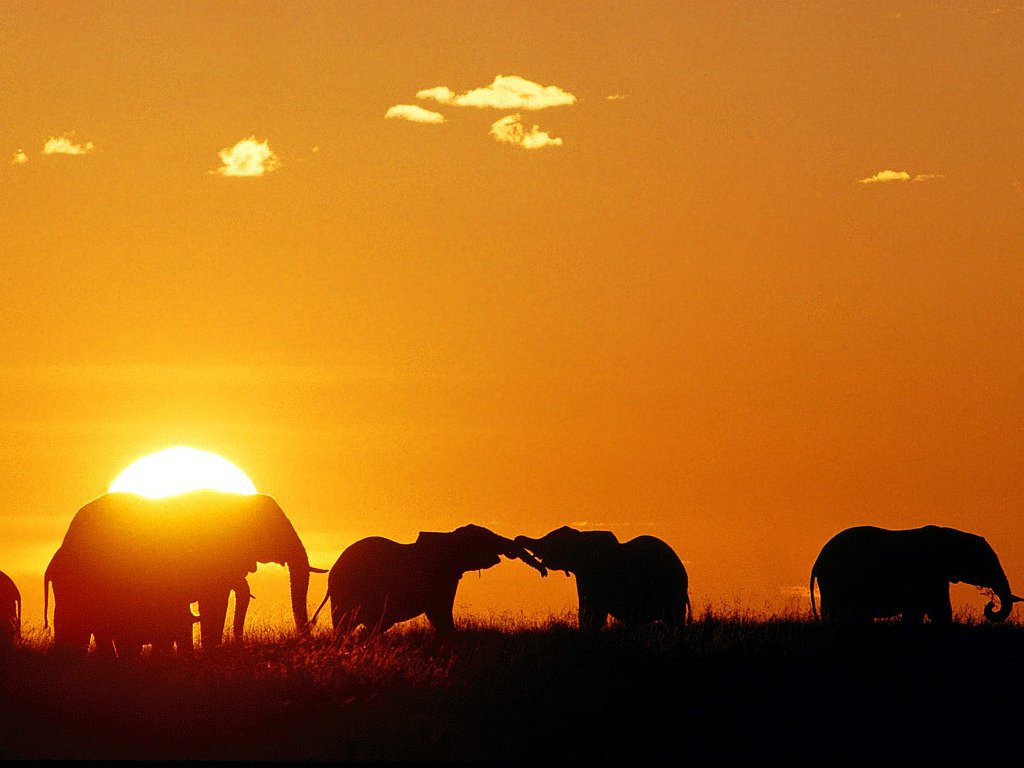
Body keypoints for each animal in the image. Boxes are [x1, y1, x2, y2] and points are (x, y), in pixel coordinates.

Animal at [516, 528, 692, 630]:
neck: (583, 537)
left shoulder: (598, 576)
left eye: (552, 542)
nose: (517, 539)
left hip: (673, 594)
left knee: (674, 622)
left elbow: (594, 614)